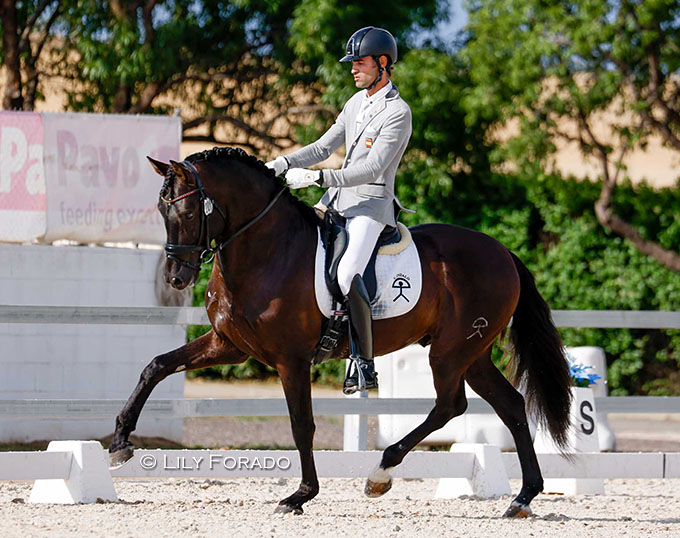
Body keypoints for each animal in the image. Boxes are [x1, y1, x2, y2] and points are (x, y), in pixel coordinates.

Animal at [109, 146, 572, 518]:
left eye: (188, 213)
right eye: (161, 211)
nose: (175, 278)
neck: (268, 250)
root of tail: (503, 251)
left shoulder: (291, 360)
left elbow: (302, 424)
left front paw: (300, 495)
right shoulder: (229, 345)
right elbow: (156, 366)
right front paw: (119, 444)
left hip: (450, 353)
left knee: (450, 405)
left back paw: (380, 474)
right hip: (472, 355)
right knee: (510, 405)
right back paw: (523, 497)